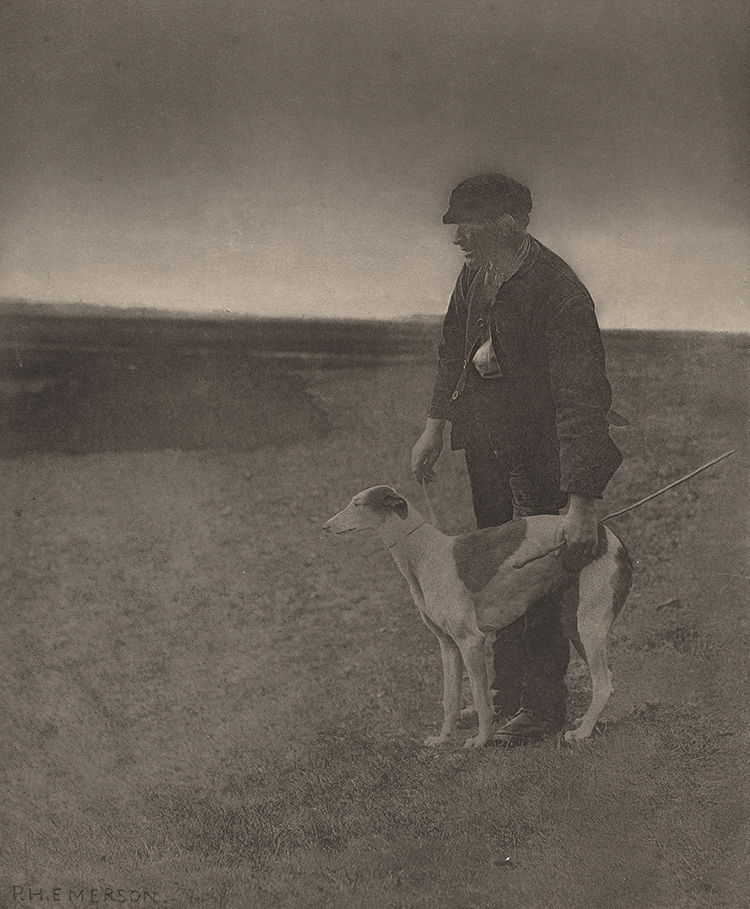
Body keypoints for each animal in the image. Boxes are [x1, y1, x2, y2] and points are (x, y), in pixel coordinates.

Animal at [324, 486, 636, 748]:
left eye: (358, 503)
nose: (325, 527)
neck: (424, 557)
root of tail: (612, 537)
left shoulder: (470, 640)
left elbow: (480, 696)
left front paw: (481, 740)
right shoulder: (448, 645)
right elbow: (449, 699)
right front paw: (442, 739)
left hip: (590, 623)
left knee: (604, 684)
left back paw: (582, 733)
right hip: (573, 624)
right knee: (606, 678)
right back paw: (587, 722)